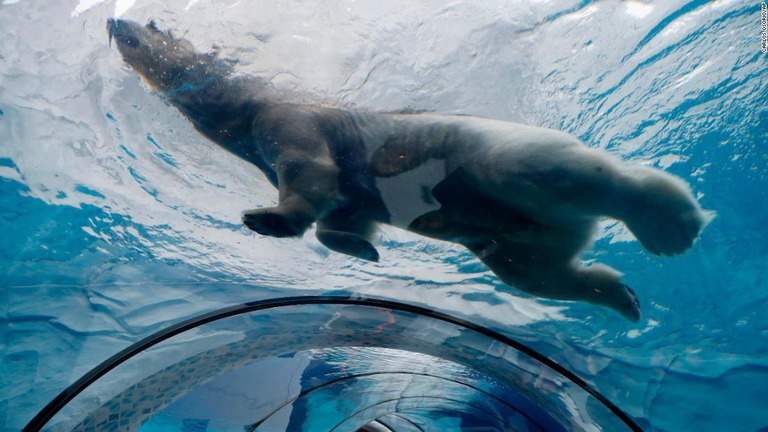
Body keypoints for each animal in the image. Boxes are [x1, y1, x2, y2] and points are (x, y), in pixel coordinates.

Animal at [108, 18, 712, 320]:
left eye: (151, 23)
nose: (114, 17)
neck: (251, 101)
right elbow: (344, 213)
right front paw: (363, 249)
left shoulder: (290, 118)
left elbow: (309, 170)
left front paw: (266, 218)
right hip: (522, 235)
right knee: (531, 268)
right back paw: (620, 296)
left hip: (482, 150)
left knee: (545, 171)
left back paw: (669, 222)